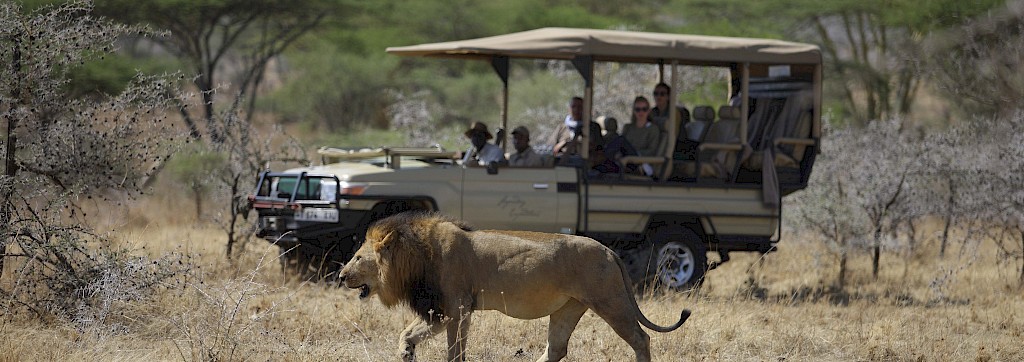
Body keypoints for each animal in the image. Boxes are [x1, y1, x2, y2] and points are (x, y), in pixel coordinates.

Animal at [339, 210, 692, 362]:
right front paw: (406, 351)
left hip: (610, 301)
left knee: (640, 338)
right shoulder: (443, 310)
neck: (418, 254)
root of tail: (609, 250)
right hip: (568, 307)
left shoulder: (457, 308)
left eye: (357, 257)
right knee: (557, 348)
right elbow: (409, 332)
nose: (341, 276)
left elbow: (455, 350)